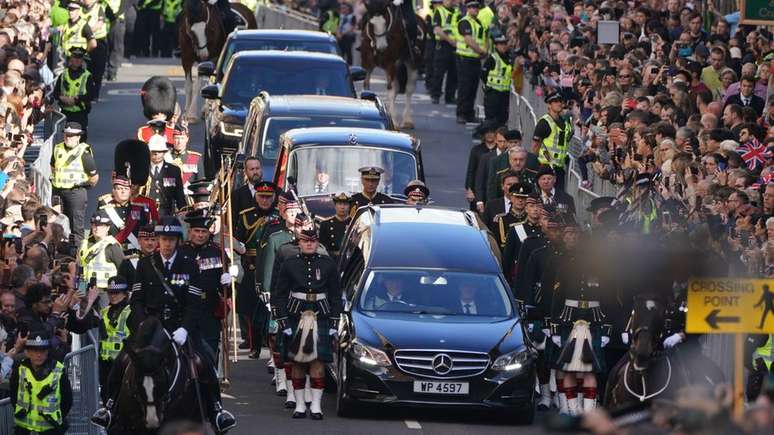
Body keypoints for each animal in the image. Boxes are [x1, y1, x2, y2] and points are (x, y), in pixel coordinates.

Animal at [362, 0, 428, 129]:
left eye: (385, 22)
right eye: (371, 24)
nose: (382, 46)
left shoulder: (390, 63)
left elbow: (391, 90)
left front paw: (393, 120)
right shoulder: (367, 63)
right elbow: (366, 84)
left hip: (412, 63)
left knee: (408, 89)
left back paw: (407, 120)